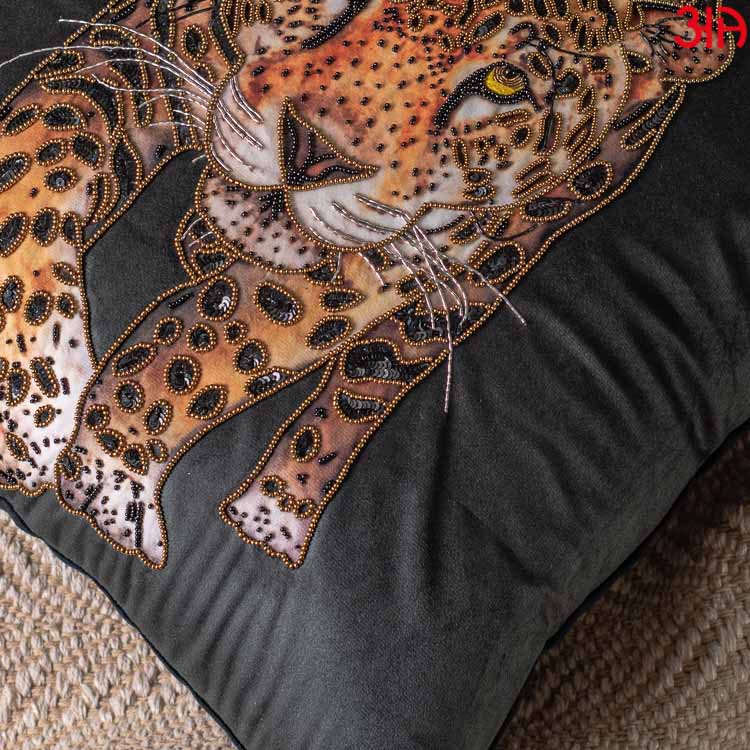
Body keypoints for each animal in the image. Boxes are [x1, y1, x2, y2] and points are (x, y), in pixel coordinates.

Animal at [0, 0, 735, 567]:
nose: (310, 151)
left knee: (369, 382)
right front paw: (35, 405)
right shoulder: (144, 39)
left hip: (490, 263)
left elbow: (207, 349)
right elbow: (38, 163)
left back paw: (278, 511)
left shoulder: (377, 260)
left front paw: (110, 473)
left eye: (505, 81)